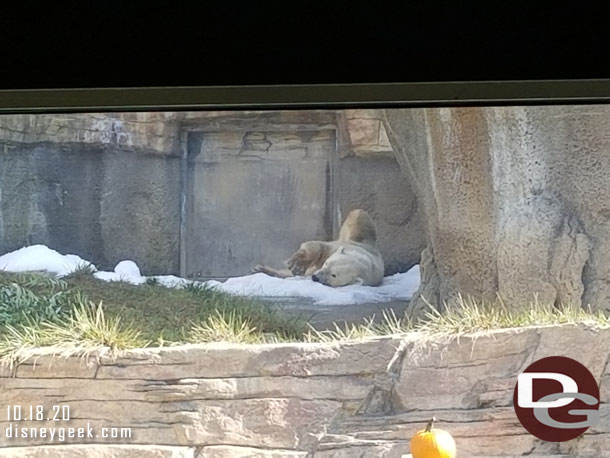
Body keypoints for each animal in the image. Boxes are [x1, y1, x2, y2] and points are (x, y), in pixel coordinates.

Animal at [254, 210, 382, 286]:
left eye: (334, 275)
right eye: (327, 263)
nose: (315, 277)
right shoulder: (338, 247)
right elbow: (318, 246)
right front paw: (297, 264)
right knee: (359, 215)